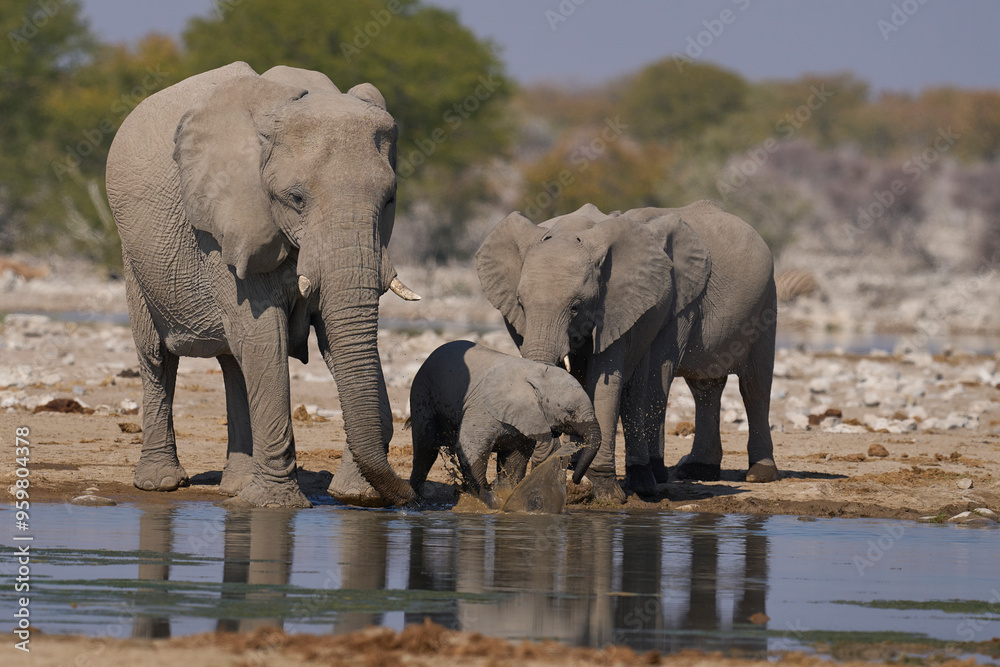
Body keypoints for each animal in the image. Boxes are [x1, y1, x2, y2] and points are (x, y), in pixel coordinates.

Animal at [105, 61, 420, 508]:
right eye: (296, 198)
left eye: (390, 199)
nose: (413, 496)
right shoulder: (227, 221)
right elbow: (263, 334)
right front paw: (274, 505)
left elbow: (329, 336)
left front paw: (355, 496)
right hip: (134, 254)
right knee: (157, 356)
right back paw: (161, 483)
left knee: (234, 361)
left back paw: (234, 486)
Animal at [407, 340, 601, 508]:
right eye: (570, 411)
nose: (575, 480)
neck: (536, 375)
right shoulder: (482, 409)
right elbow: (471, 448)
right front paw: (490, 500)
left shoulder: (528, 421)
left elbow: (514, 459)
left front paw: (505, 497)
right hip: (422, 393)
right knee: (426, 449)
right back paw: (417, 499)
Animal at [476, 200, 778, 502]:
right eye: (520, 303)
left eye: (576, 307)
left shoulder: (652, 302)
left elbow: (623, 379)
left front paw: (607, 492)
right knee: (705, 388)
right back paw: (695, 471)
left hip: (766, 301)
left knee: (753, 385)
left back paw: (754, 474)